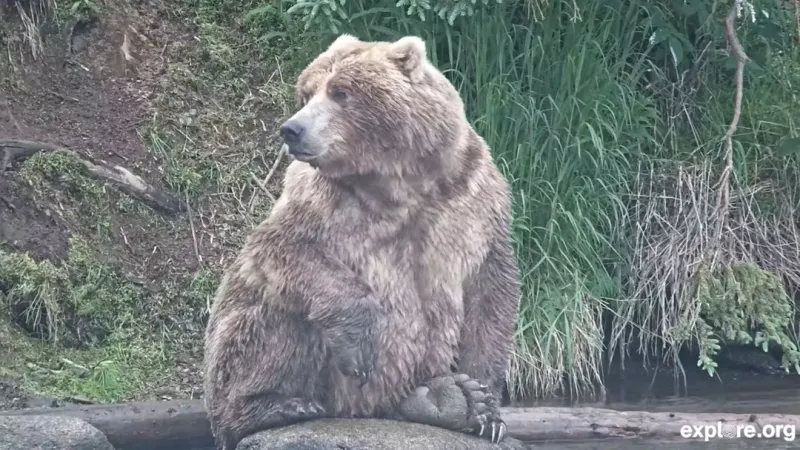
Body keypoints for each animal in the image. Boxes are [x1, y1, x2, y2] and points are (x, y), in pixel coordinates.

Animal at [202, 33, 521, 450]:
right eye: (306, 93)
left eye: (340, 92)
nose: (292, 129)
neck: (400, 182)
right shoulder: (322, 201)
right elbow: (282, 249)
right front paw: (360, 344)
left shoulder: (472, 198)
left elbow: (490, 292)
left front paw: (486, 407)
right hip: (259, 363)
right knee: (275, 317)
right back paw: (276, 406)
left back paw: (448, 399)